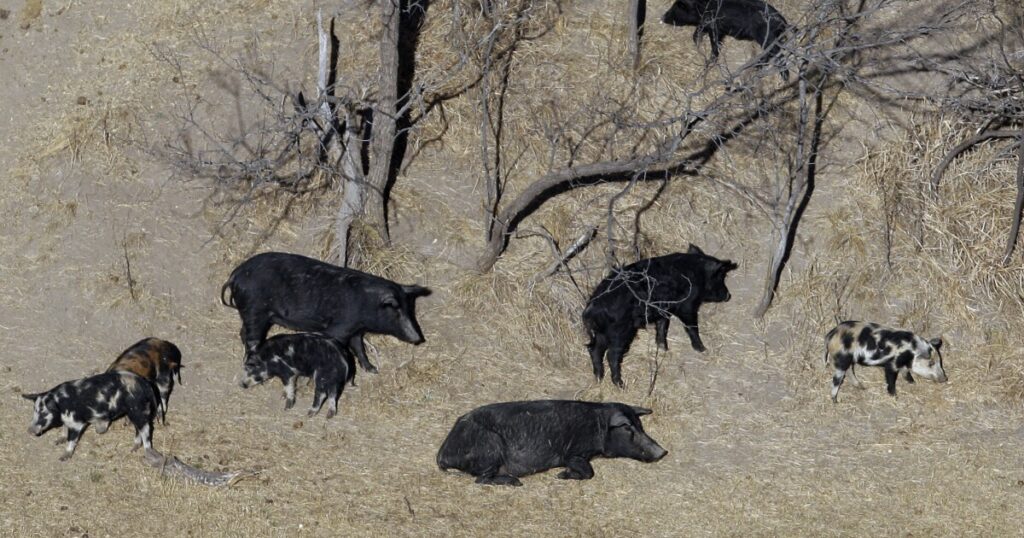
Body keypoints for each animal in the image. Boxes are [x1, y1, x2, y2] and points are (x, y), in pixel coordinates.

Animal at [22, 371, 159, 461]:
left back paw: (147, 452)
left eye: (44, 413)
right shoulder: (68, 421)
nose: (29, 430)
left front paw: (63, 457)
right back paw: (133, 449)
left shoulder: (77, 423)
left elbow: (71, 440)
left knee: (146, 429)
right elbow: (64, 429)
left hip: (137, 410)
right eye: (34, 411)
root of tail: (145, 384)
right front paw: (58, 441)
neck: (61, 403)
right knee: (139, 429)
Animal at [221, 252, 431, 374]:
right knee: (251, 338)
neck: (366, 304)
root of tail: (235, 275)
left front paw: (372, 370)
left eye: (409, 309)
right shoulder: (339, 328)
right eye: (395, 311)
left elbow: (359, 348)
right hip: (255, 311)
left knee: (243, 333)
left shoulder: (356, 330)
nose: (418, 338)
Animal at [436, 400, 667, 486]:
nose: (663, 452)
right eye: (628, 428)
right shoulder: (572, 452)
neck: (597, 426)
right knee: (481, 479)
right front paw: (562, 475)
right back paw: (515, 482)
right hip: (491, 446)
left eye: (641, 425)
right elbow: (589, 472)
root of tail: (442, 454)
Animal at [582, 245, 738, 387]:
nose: (729, 295)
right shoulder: (687, 306)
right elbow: (691, 327)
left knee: (594, 349)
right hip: (619, 332)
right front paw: (702, 349)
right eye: (721, 277)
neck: (698, 273)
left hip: (602, 333)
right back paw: (621, 385)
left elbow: (662, 326)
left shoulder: (663, 310)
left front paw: (664, 349)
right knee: (611, 354)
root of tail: (592, 308)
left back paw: (598, 379)